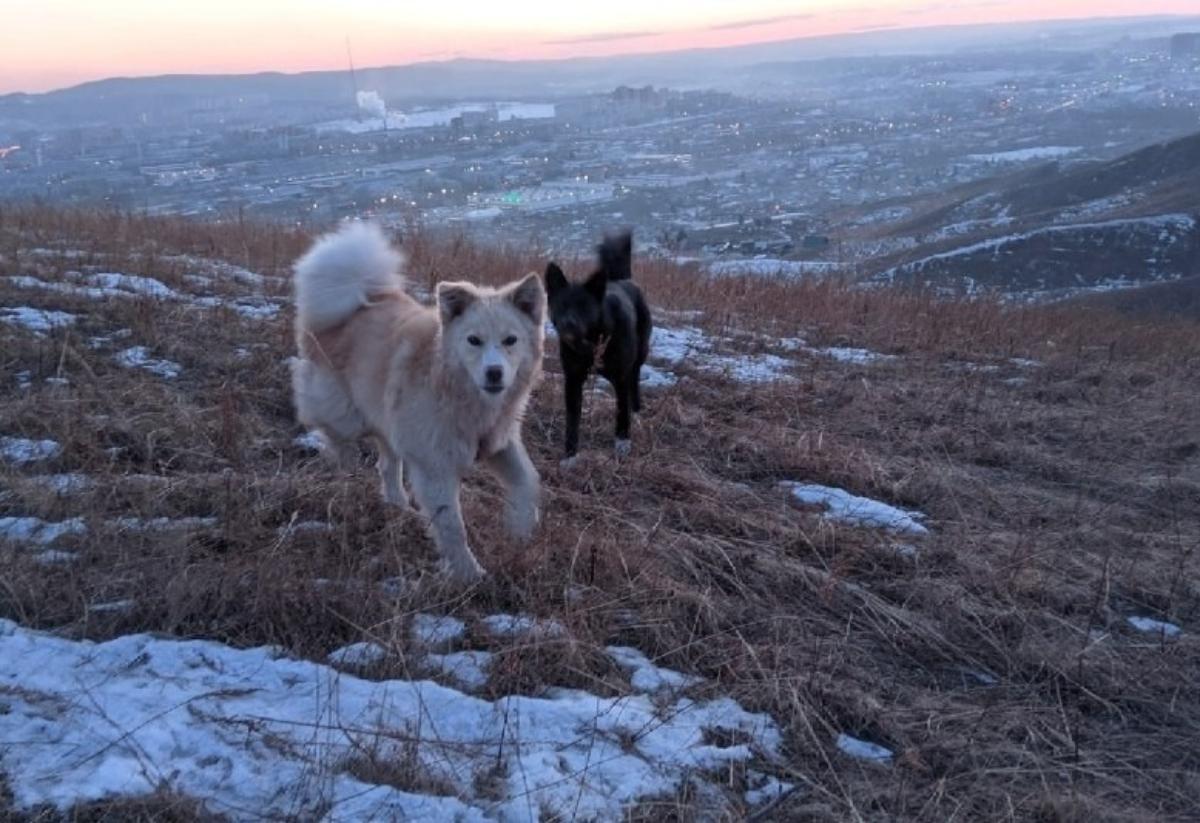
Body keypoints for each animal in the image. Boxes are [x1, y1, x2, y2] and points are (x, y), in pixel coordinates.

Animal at [549, 233, 652, 465]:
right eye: (561, 305)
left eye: (584, 306)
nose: (567, 324)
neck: (591, 342)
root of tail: (623, 280)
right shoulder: (572, 380)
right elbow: (572, 420)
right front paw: (570, 457)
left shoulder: (621, 377)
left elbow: (621, 411)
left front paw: (622, 444)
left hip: (639, 356)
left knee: (634, 384)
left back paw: (637, 413)